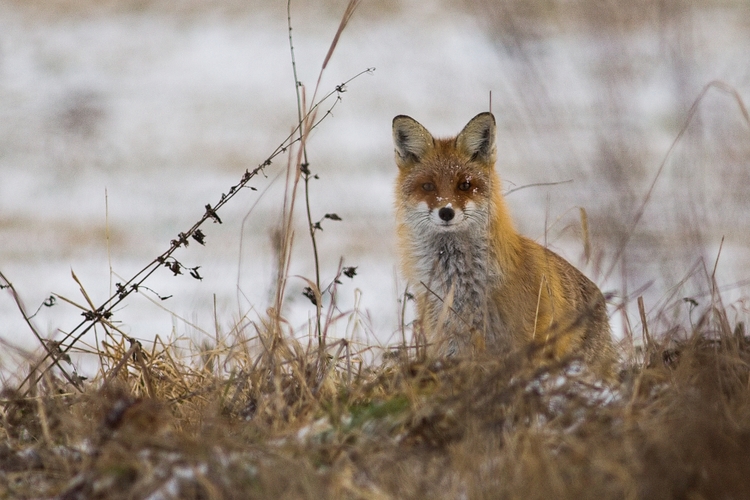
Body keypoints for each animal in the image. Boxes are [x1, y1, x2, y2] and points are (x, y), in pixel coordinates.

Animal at [394, 110, 616, 376]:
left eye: (465, 185)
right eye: (428, 186)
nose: (446, 212)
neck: (461, 285)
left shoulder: (523, 345)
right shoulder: (450, 343)